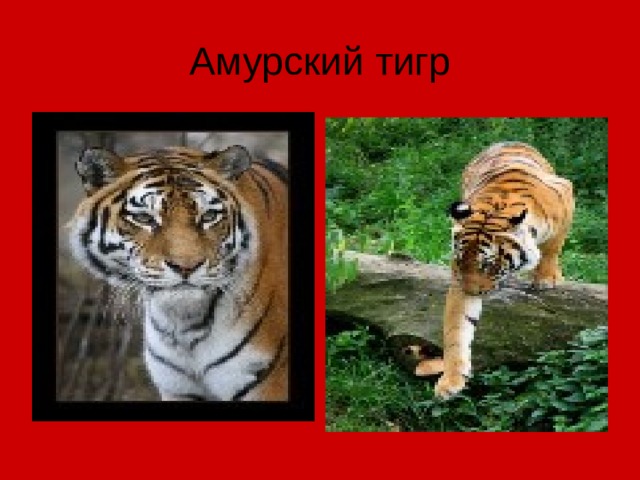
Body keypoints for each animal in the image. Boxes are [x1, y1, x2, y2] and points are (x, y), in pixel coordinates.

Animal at [68, 145, 289, 401]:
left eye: (209, 216)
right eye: (143, 218)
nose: (186, 266)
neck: (184, 325)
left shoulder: (269, 385)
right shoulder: (177, 389)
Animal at [415, 141, 574, 400]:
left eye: (488, 264)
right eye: (461, 261)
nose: (472, 291)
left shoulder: (565, 195)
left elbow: (553, 246)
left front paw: (546, 277)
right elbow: (456, 329)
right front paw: (451, 380)